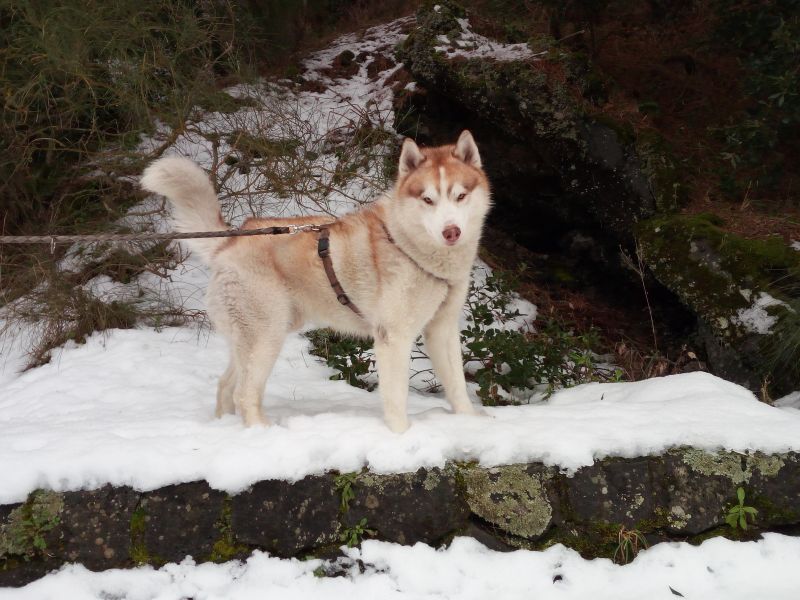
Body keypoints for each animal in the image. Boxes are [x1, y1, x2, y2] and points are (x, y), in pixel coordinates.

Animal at [142, 131, 494, 432]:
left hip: (256, 336)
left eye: (460, 196)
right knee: (244, 393)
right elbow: (396, 398)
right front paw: (402, 436)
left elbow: (457, 385)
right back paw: (261, 433)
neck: (409, 246)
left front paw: (470, 423)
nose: (451, 232)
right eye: (428, 200)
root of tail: (229, 242)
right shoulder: (393, 337)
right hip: (267, 337)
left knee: (226, 385)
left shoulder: (442, 329)